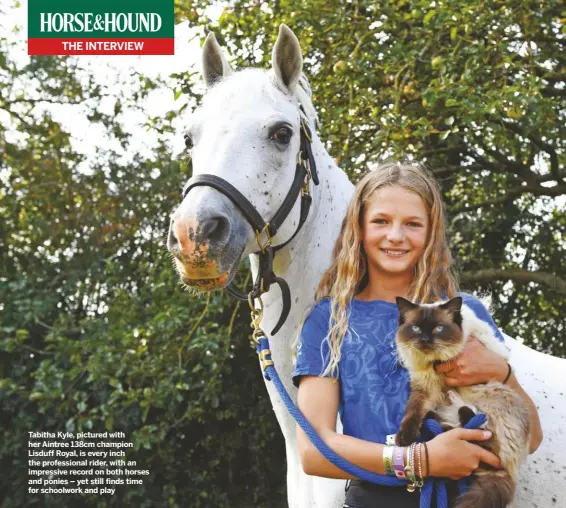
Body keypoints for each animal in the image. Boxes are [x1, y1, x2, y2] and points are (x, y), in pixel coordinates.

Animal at [394, 296, 532, 508]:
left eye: (438, 329)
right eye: (416, 329)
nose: (425, 340)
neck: (434, 363)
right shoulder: (423, 388)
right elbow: (412, 413)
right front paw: (405, 438)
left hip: (499, 396)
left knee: (489, 451)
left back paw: (466, 417)